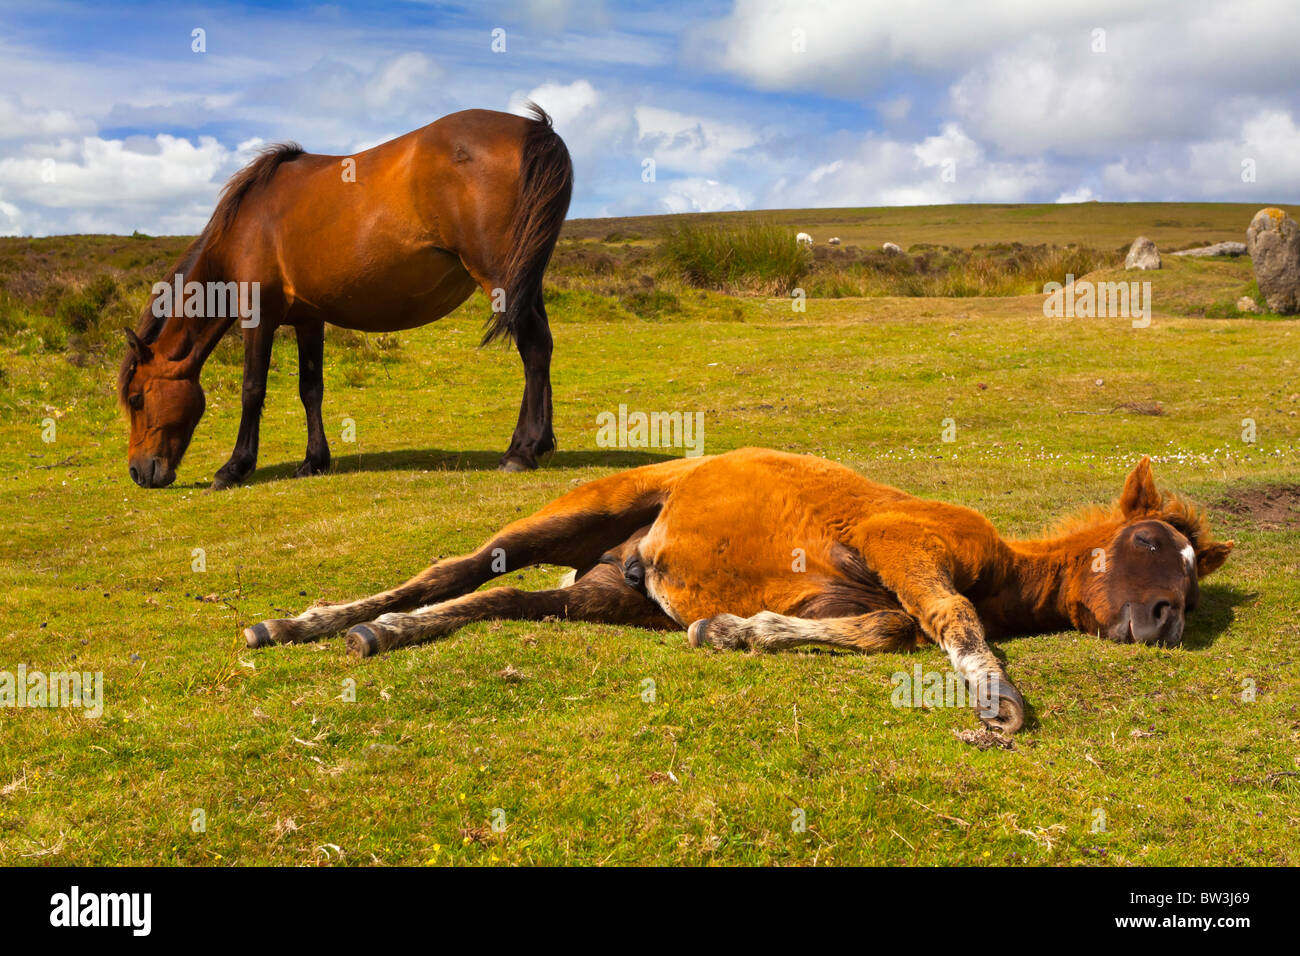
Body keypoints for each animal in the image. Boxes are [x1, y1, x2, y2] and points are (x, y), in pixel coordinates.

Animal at [117, 104, 572, 489]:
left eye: (137, 399)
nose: (138, 473)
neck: (246, 225)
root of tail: (536, 129)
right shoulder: (308, 319)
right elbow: (310, 389)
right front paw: (314, 461)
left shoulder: (257, 316)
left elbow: (252, 389)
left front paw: (234, 467)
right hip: (525, 280)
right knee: (543, 346)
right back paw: (541, 442)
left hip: (500, 279)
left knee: (533, 348)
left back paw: (521, 452)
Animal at [242, 447, 1233, 735]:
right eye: (1148, 541)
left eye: (1194, 584)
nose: (1165, 624)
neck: (1006, 569)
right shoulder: (905, 544)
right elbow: (947, 620)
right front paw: (999, 702)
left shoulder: (857, 601)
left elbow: (886, 632)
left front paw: (730, 631)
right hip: (577, 511)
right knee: (459, 567)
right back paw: (307, 622)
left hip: (601, 595)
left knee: (494, 602)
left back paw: (383, 634)